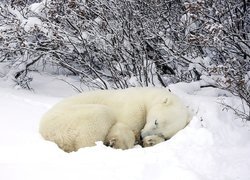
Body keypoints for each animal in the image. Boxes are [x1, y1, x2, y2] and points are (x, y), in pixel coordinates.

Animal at [39, 87, 191, 152]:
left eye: (163, 133)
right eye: (156, 121)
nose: (143, 136)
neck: (146, 97)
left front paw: (150, 141)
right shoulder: (133, 108)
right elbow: (124, 126)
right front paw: (121, 142)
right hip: (67, 120)